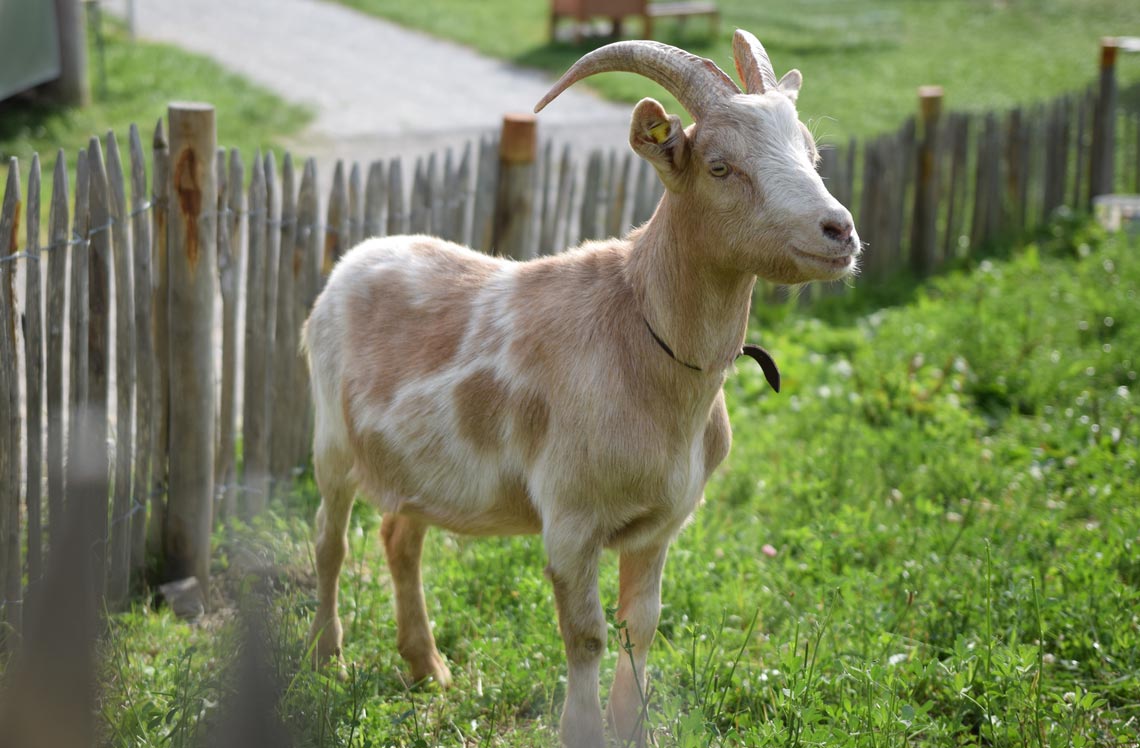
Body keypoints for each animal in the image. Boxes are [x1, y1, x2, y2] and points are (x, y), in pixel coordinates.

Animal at [303, 30, 857, 748]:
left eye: (811, 153)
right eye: (720, 166)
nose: (839, 231)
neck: (640, 340)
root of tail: (355, 257)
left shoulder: (661, 524)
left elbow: (641, 625)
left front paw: (634, 727)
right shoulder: (570, 518)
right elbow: (587, 635)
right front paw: (586, 731)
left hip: (417, 466)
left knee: (401, 538)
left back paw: (428, 667)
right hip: (331, 443)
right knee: (330, 540)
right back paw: (328, 658)